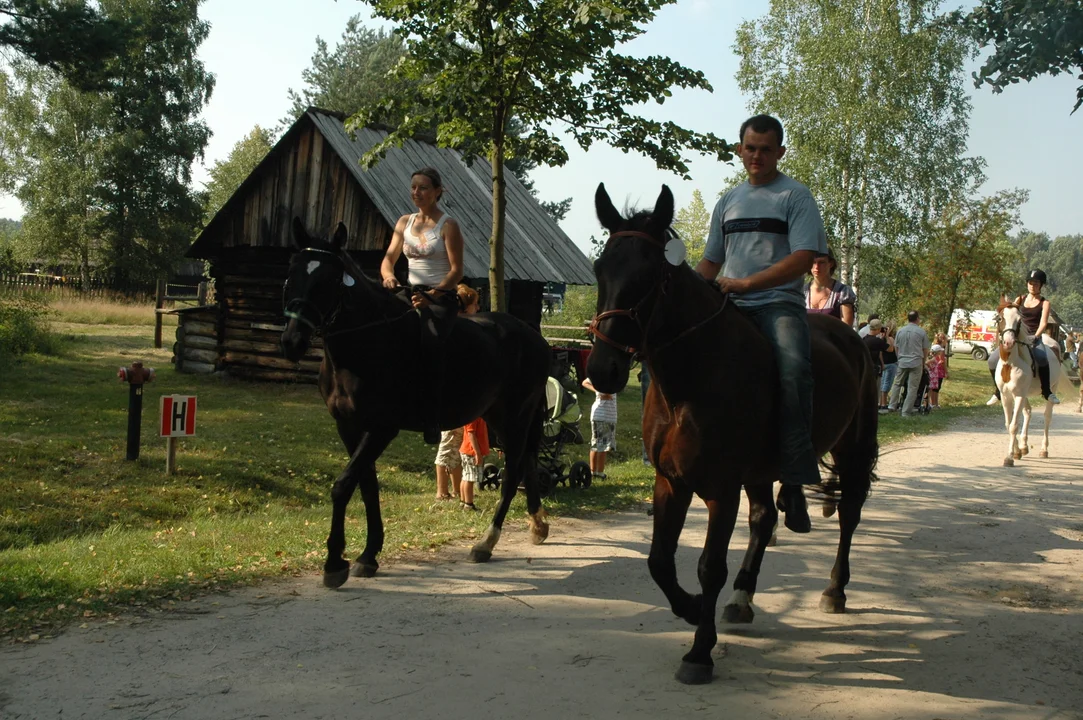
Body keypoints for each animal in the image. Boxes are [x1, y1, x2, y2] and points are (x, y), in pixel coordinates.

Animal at [281, 216, 550, 588]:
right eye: (291, 273)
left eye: (329, 280)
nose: (292, 342)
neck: (367, 342)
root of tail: (536, 338)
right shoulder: (349, 427)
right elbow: (367, 486)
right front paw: (368, 555)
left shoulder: (382, 428)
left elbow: (343, 485)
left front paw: (334, 563)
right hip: (499, 418)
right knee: (527, 462)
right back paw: (538, 525)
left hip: (515, 418)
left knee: (512, 474)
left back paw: (486, 543)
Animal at [584, 182, 879, 684]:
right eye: (600, 268)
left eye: (651, 274)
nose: (603, 370)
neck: (693, 379)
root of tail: (854, 339)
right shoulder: (671, 481)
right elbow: (659, 561)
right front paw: (690, 608)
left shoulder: (721, 488)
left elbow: (709, 567)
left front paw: (699, 652)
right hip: (759, 472)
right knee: (764, 519)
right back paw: (742, 598)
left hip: (852, 450)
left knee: (848, 515)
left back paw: (834, 590)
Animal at [992, 298, 1061, 463]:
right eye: (1000, 318)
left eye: (1019, 321)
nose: (1008, 342)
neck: (1010, 364)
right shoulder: (1006, 396)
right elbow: (1008, 423)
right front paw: (1017, 451)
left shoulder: (1018, 395)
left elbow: (1013, 425)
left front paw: (1009, 457)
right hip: (1025, 395)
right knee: (1028, 412)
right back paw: (1024, 446)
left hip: (1052, 388)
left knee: (1047, 417)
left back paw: (1043, 450)